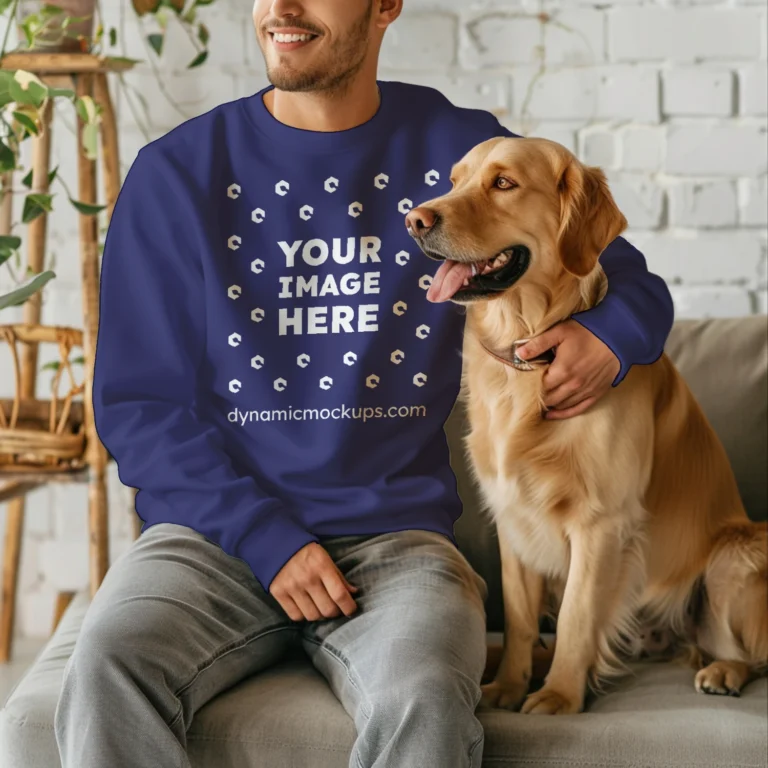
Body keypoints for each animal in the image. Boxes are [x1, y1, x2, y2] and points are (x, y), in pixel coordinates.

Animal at [404, 136, 764, 712]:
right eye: (454, 180)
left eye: (503, 183)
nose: (414, 220)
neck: (529, 350)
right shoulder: (512, 518)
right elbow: (521, 618)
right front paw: (508, 686)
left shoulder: (601, 523)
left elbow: (576, 615)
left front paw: (558, 697)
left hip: (736, 554)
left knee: (743, 649)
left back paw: (723, 670)